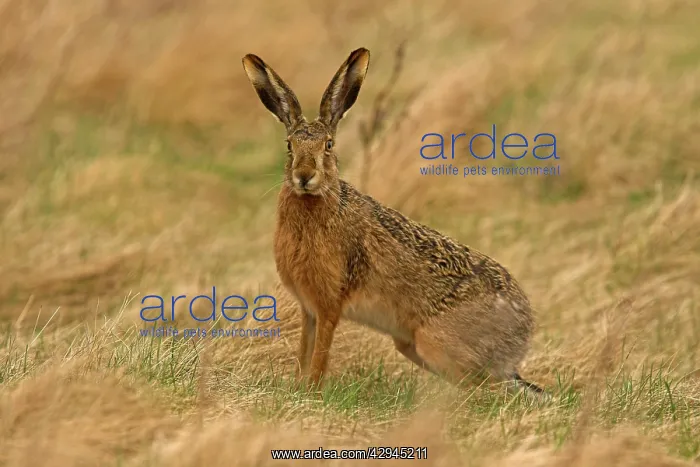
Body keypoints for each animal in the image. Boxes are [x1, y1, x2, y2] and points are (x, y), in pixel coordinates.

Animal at [242, 47, 547, 399]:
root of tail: (523, 331)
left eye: (329, 145)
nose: (304, 176)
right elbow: (304, 352)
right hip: (413, 346)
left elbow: (319, 356)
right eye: (290, 146)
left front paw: (312, 393)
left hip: (437, 345)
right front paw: (297, 388)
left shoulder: (329, 304)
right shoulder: (309, 310)